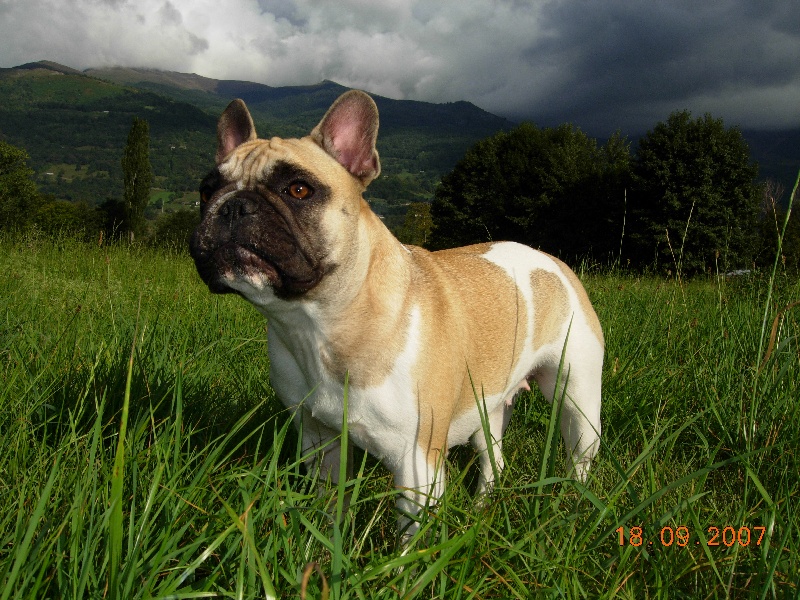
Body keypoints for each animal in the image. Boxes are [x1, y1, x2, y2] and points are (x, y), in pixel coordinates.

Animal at [189, 89, 600, 540]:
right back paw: (482, 507)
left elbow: (409, 540)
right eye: (206, 191)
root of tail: (552, 260)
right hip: (487, 408)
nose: (233, 206)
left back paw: (575, 507)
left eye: (298, 189)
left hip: (577, 397)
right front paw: (322, 547)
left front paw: (402, 559)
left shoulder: (416, 464)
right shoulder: (320, 441)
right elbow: (329, 508)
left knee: (579, 458)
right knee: (493, 458)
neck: (320, 323)